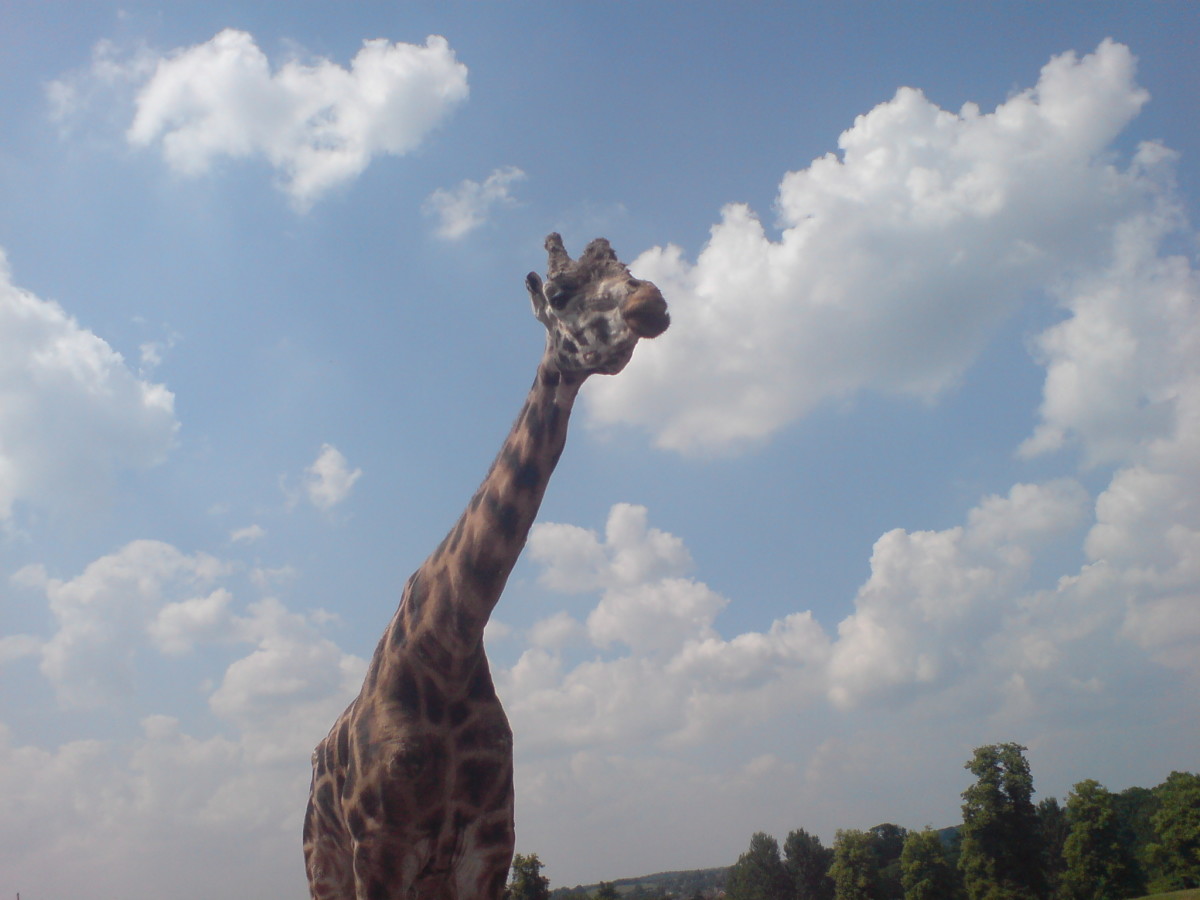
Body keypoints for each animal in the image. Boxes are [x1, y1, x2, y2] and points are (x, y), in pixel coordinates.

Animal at [303, 233, 669, 900]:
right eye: (559, 293)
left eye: (624, 267)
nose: (649, 302)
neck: (447, 642)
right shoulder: (381, 848)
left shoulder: (490, 842)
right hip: (325, 863)